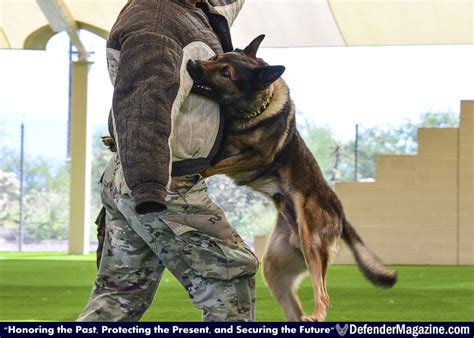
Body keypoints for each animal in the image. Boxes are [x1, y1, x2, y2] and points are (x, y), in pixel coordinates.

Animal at [185, 35, 396, 320]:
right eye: (215, 58)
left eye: (225, 73)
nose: (191, 64)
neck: (251, 109)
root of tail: (341, 214)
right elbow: (217, 158)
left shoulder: (259, 156)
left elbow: (213, 164)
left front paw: (194, 169)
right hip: (275, 268)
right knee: (293, 307)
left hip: (311, 242)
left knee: (324, 294)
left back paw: (316, 314)